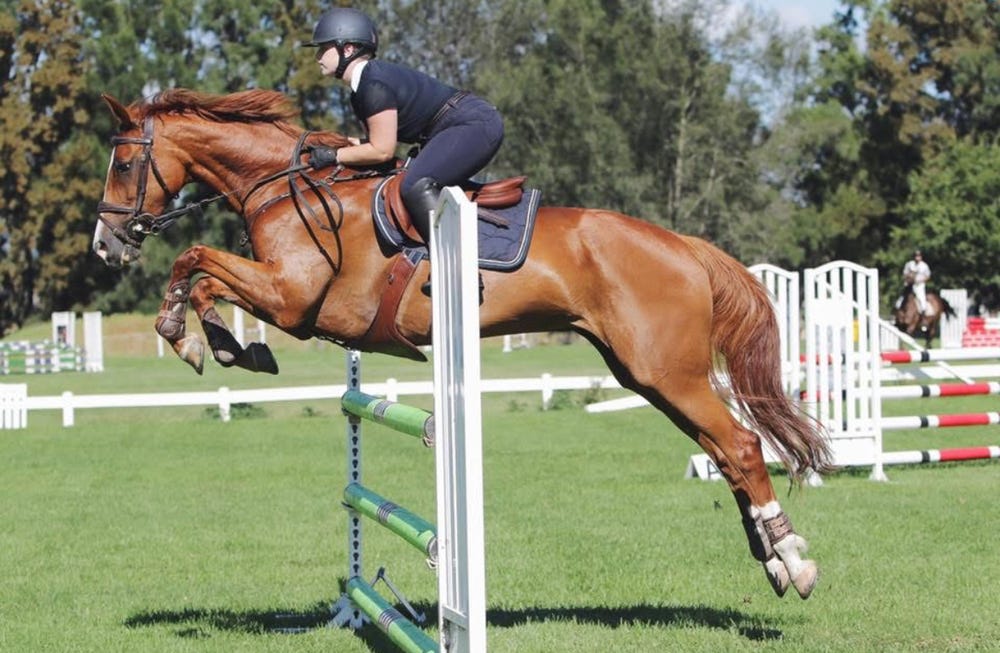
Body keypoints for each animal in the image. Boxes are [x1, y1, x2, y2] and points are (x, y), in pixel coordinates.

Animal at [93, 88, 831, 600]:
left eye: (125, 161)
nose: (106, 245)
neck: (286, 189)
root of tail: (684, 245)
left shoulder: (292, 300)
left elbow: (193, 259)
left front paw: (195, 340)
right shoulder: (282, 296)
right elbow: (204, 273)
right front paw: (223, 346)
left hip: (667, 372)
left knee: (739, 445)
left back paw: (794, 560)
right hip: (647, 375)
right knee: (725, 451)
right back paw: (772, 558)